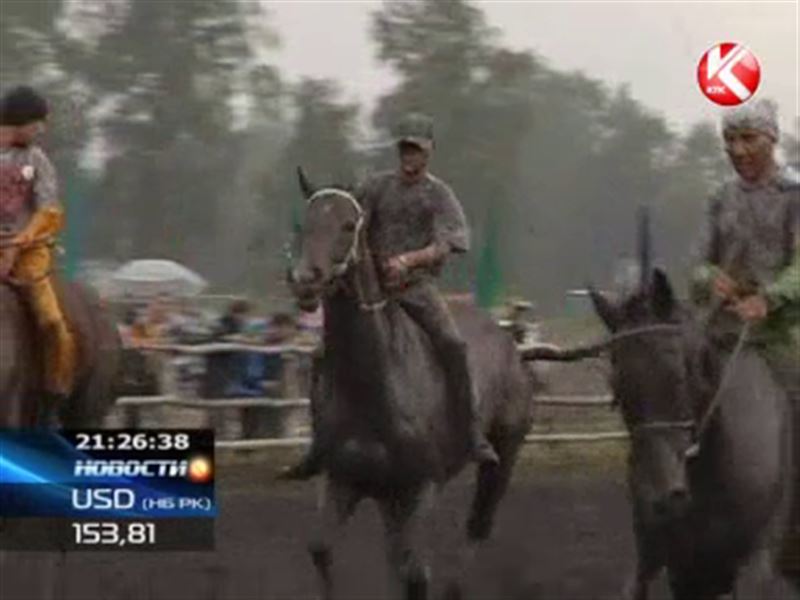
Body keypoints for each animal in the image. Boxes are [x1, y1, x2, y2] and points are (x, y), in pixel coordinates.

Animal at [284, 171, 536, 596]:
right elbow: (321, 550)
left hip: (505, 452)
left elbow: (416, 574)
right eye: (305, 224)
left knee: (478, 526)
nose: (305, 281)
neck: (375, 386)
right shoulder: (345, 479)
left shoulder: (421, 487)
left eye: (348, 225)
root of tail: (512, 342)